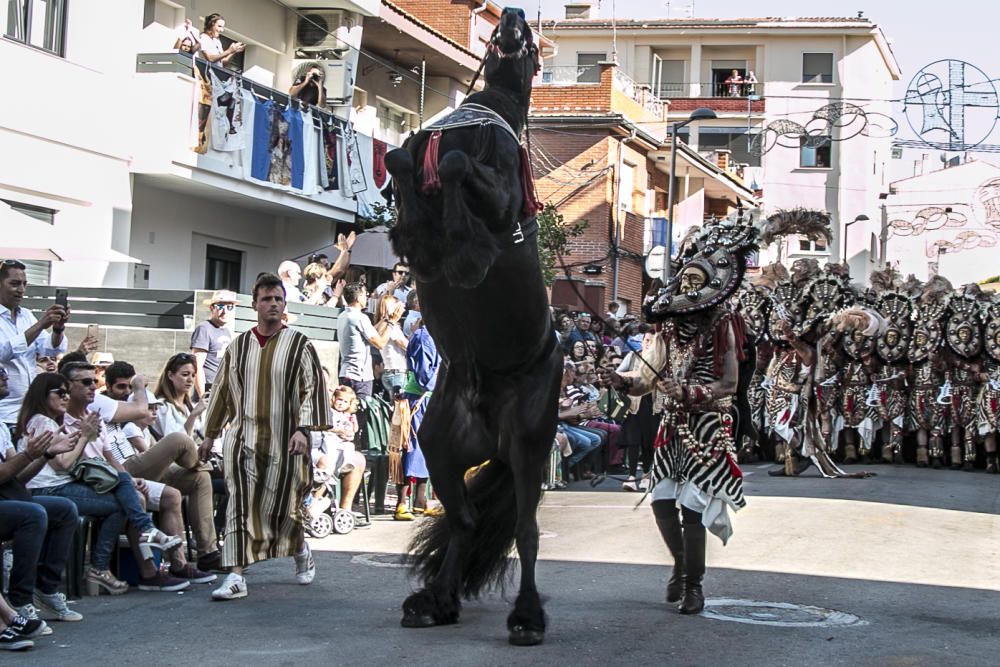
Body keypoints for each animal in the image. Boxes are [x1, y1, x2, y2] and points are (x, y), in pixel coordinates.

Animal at [380, 9, 560, 648]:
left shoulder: (498, 197)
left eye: (533, 47)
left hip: (527, 445)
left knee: (526, 531)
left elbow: (458, 170)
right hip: (437, 445)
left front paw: (462, 252)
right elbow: (402, 162)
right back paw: (434, 601)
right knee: (463, 518)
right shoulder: (412, 179)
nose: (511, 18)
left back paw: (527, 618)